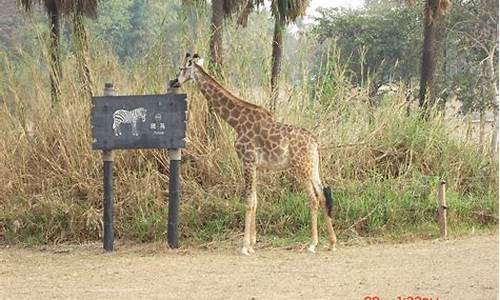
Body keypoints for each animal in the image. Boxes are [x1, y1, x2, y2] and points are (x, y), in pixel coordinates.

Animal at [170, 52, 338, 254]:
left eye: (182, 69)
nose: (173, 82)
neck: (236, 122)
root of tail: (314, 142)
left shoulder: (247, 161)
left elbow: (249, 200)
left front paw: (244, 247)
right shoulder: (255, 165)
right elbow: (256, 200)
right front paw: (252, 243)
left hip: (301, 168)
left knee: (313, 198)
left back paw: (312, 244)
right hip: (312, 167)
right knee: (323, 195)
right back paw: (331, 243)